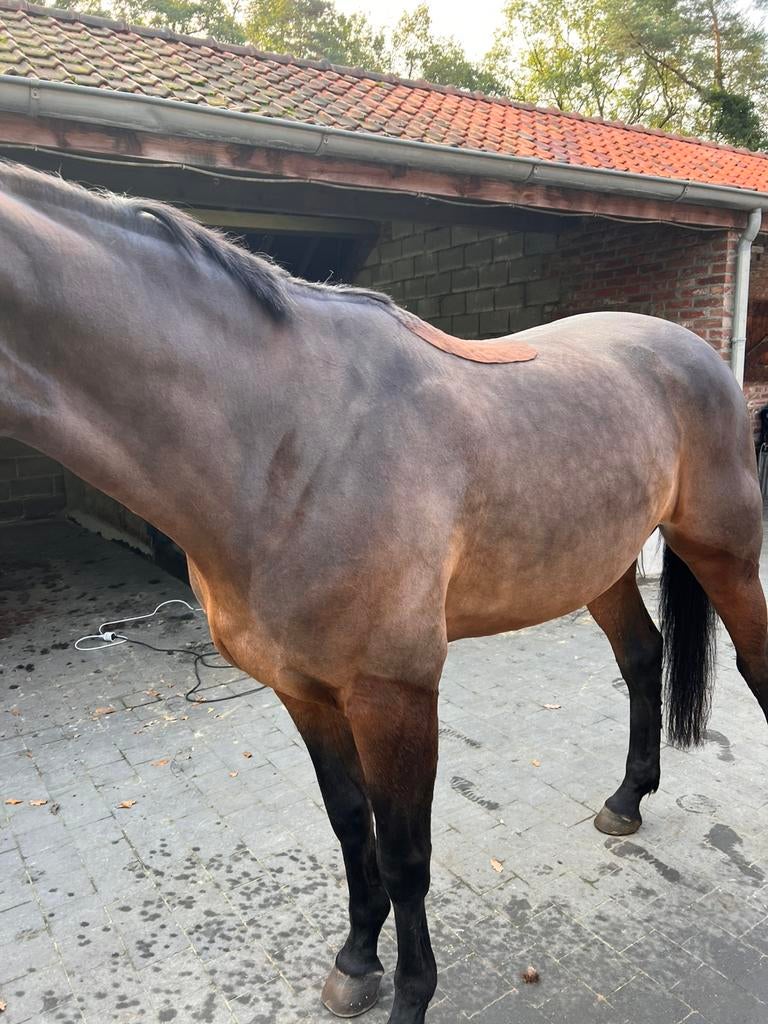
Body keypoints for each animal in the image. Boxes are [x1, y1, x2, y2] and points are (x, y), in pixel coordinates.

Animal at [1, 161, 766, 1024]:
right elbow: (348, 826)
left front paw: (409, 993)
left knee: (754, 666)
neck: (285, 438)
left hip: (726, 552)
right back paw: (628, 799)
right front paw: (356, 961)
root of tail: (696, 352)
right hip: (597, 567)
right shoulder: (301, 689)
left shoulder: (392, 693)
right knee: (642, 658)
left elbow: (404, 855)